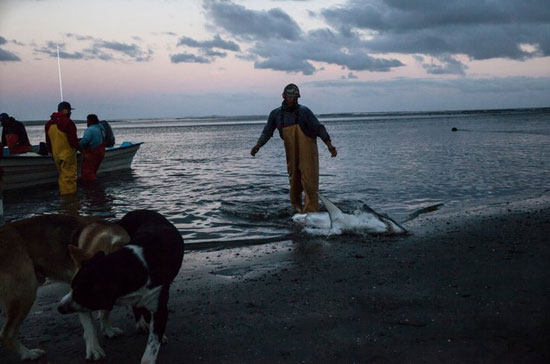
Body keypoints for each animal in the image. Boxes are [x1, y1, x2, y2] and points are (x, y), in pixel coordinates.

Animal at [0, 215, 130, 360]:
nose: (61, 308)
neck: (110, 244)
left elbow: (105, 311)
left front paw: (108, 329)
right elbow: (90, 326)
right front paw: (94, 349)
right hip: (25, 292)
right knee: (7, 333)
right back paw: (28, 354)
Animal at [59, 210, 185, 364]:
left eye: (81, 295)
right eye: (72, 287)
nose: (60, 307)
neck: (135, 265)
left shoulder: (159, 306)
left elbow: (152, 346)